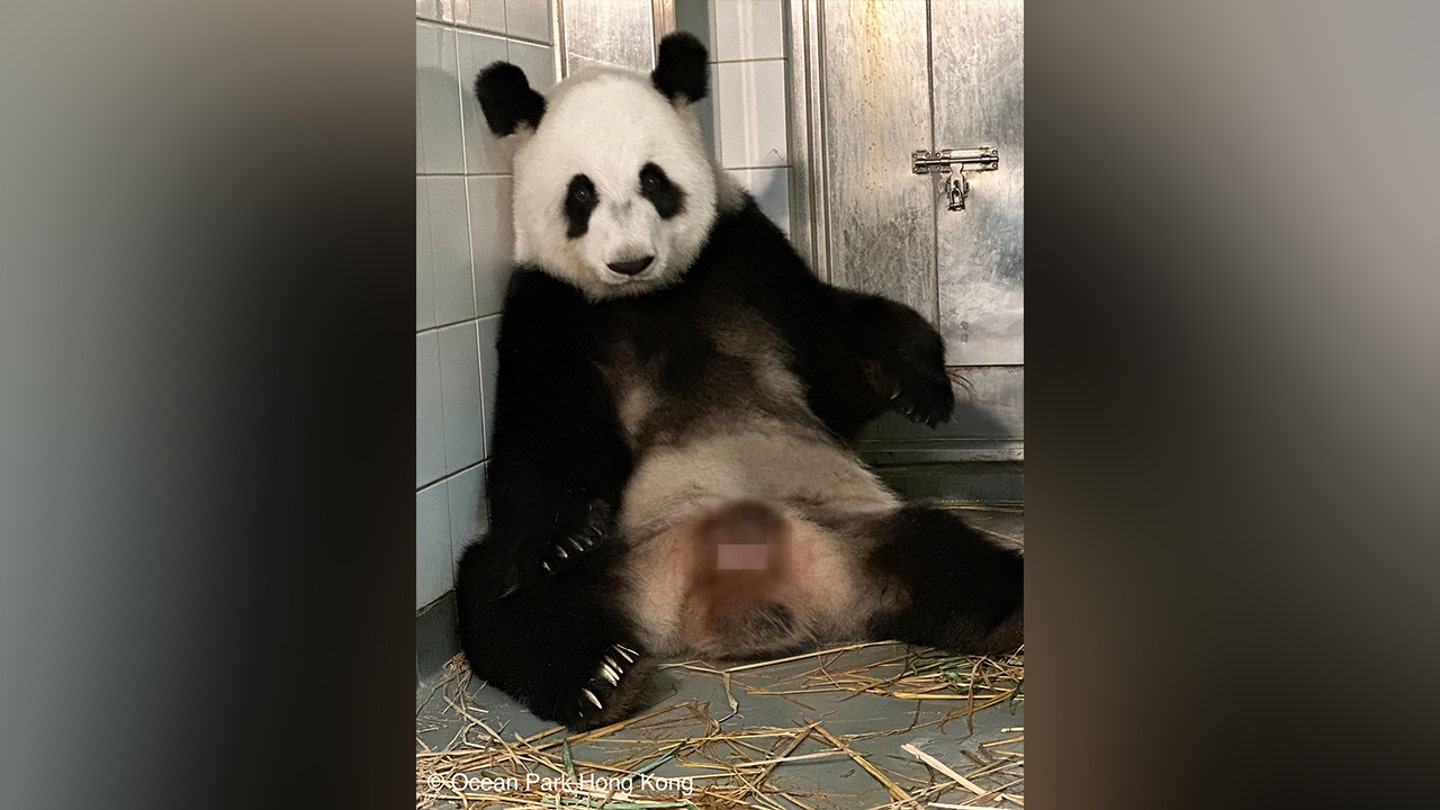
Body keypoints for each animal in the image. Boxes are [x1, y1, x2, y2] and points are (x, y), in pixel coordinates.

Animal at [455, 31, 1019, 729]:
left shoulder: (747, 257)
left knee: (948, 553)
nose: (630, 260)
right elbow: (538, 440)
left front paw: (921, 389)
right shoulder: (548, 307)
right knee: (498, 591)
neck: (648, 297)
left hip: (855, 525)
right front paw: (565, 537)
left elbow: (832, 352)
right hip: (618, 558)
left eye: (652, 180)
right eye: (580, 194)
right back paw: (600, 674)